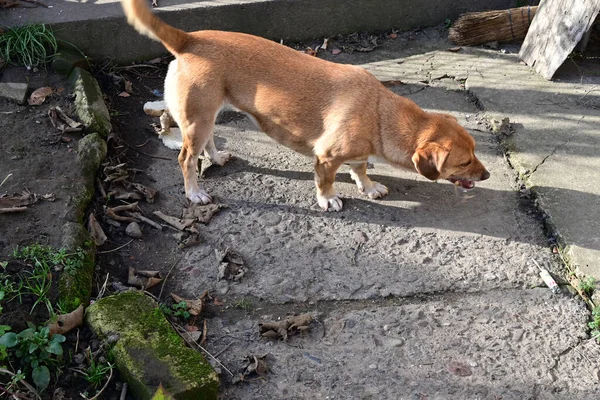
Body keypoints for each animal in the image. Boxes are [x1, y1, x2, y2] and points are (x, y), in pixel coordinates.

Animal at [120, 0, 488, 211]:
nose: (486, 175)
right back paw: (194, 192)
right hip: (197, 120)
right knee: (185, 158)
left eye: (475, 152)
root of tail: (189, 39)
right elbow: (325, 183)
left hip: (207, 116)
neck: (381, 113)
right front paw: (329, 199)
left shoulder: (357, 154)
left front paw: (369, 187)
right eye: (464, 162)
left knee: (207, 143)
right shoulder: (326, 158)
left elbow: (361, 169)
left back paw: (216, 158)